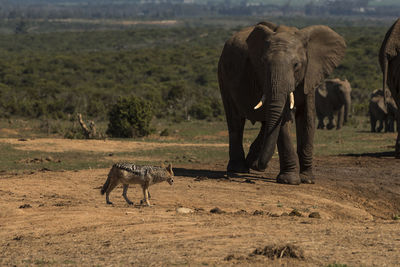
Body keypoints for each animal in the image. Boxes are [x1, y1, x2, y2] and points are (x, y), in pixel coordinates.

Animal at [217, 21, 346, 185]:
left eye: (296, 65)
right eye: (263, 63)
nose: (260, 166)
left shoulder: (310, 75)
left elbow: (308, 119)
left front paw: (307, 179)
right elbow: (283, 121)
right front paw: (289, 180)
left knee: (265, 124)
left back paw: (251, 164)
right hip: (223, 74)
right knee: (235, 120)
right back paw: (239, 169)